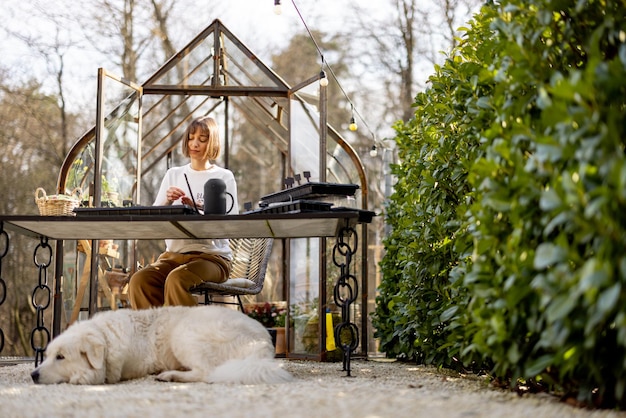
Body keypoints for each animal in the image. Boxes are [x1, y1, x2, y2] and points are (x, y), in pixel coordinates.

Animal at [30, 304, 292, 386]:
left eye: (61, 357)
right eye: (48, 355)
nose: (33, 375)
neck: (106, 337)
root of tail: (262, 340)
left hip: (183, 334)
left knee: (207, 373)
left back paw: (170, 375)